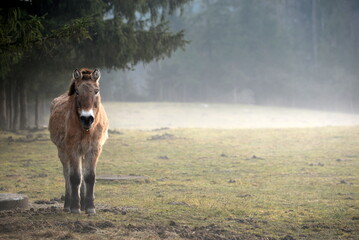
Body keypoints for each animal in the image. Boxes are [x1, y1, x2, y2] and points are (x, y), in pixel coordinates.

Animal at [48, 67, 109, 214]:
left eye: (96, 91)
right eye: (77, 92)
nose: (87, 119)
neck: (86, 129)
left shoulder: (94, 149)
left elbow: (89, 177)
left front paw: (90, 207)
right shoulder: (73, 149)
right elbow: (75, 177)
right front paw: (75, 207)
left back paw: (83, 204)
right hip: (63, 152)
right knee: (67, 174)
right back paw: (68, 204)